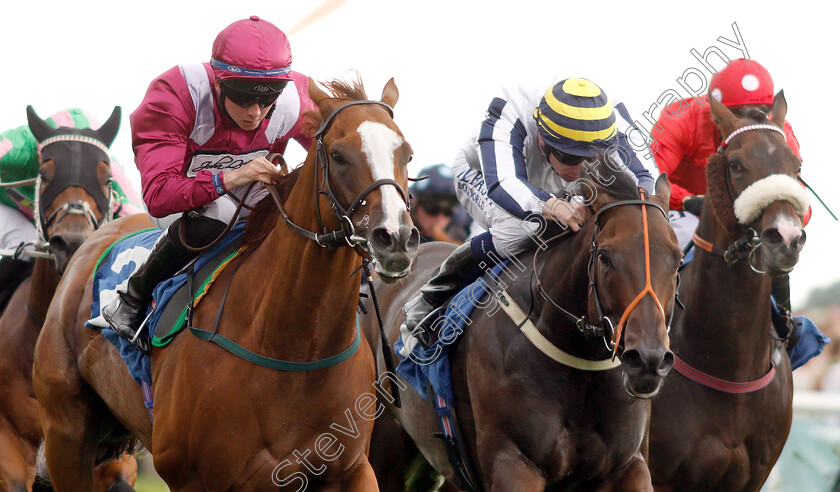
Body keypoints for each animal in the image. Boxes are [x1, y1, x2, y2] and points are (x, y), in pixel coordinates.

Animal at [32, 75, 420, 490]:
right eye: (338, 154)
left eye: (408, 154)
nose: (395, 238)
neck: (294, 350)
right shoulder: (193, 477)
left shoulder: (350, 468)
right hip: (66, 430)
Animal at [360, 166, 684, 492]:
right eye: (604, 256)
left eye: (678, 260)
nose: (648, 360)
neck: (579, 361)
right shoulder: (513, 463)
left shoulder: (628, 466)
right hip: (387, 444)